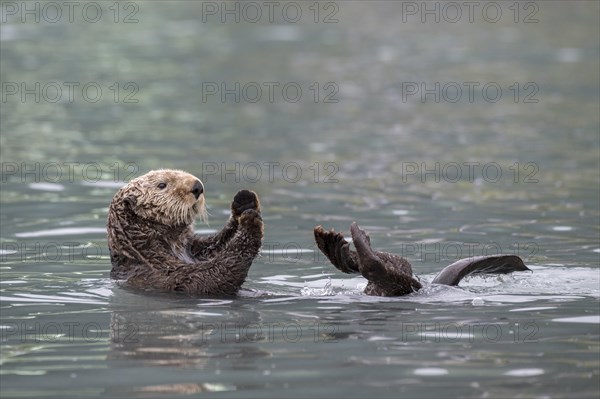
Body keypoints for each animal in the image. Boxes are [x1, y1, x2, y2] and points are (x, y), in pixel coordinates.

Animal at [108, 170, 262, 296]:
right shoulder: (164, 272)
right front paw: (249, 221)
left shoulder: (198, 250)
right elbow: (214, 275)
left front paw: (245, 200)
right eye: (162, 185)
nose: (198, 187)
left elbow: (216, 243)